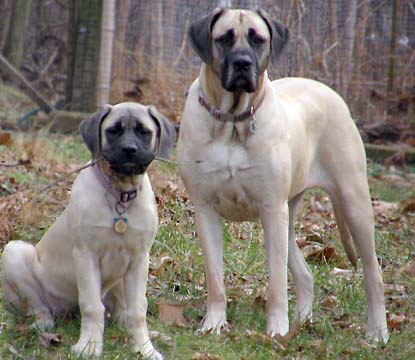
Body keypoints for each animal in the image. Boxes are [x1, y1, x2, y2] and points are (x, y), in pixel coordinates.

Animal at [1, 102, 177, 358]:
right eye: (113, 130)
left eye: (144, 131)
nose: (129, 150)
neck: (119, 194)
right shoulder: (86, 255)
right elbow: (92, 306)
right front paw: (90, 346)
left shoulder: (139, 259)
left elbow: (138, 310)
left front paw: (144, 348)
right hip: (15, 253)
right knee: (37, 305)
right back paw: (43, 323)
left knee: (122, 311)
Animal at [178, 7, 390, 342]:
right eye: (224, 38)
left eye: (257, 39)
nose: (243, 63)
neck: (232, 122)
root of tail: (328, 91)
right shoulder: (205, 210)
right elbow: (214, 277)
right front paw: (213, 324)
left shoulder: (270, 209)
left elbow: (277, 281)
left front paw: (276, 330)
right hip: (288, 215)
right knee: (305, 274)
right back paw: (302, 323)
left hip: (351, 202)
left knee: (373, 273)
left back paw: (377, 332)